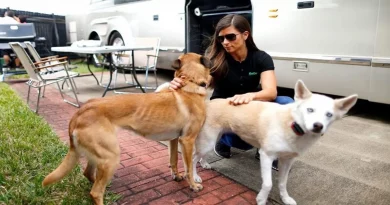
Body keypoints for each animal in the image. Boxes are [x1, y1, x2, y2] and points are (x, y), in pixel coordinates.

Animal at [42, 53, 212, 205]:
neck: (189, 83)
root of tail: (80, 111)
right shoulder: (187, 141)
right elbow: (189, 168)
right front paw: (193, 185)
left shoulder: (174, 139)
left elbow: (174, 160)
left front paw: (176, 177)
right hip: (111, 157)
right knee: (95, 192)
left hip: (98, 154)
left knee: (89, 175)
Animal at [192, 80, 360, 205]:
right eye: (310, 110)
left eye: (329, 114)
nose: (318, 126)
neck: (292, 126)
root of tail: (209, 102)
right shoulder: (266, 156)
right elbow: (268, 184)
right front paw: (261, 199)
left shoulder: (287, 161)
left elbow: (282, 183)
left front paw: (285, 198)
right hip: (208, 141)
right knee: (193, 158)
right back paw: (194, 177)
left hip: (213, 139)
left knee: (201, 155)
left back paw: (204, 163)